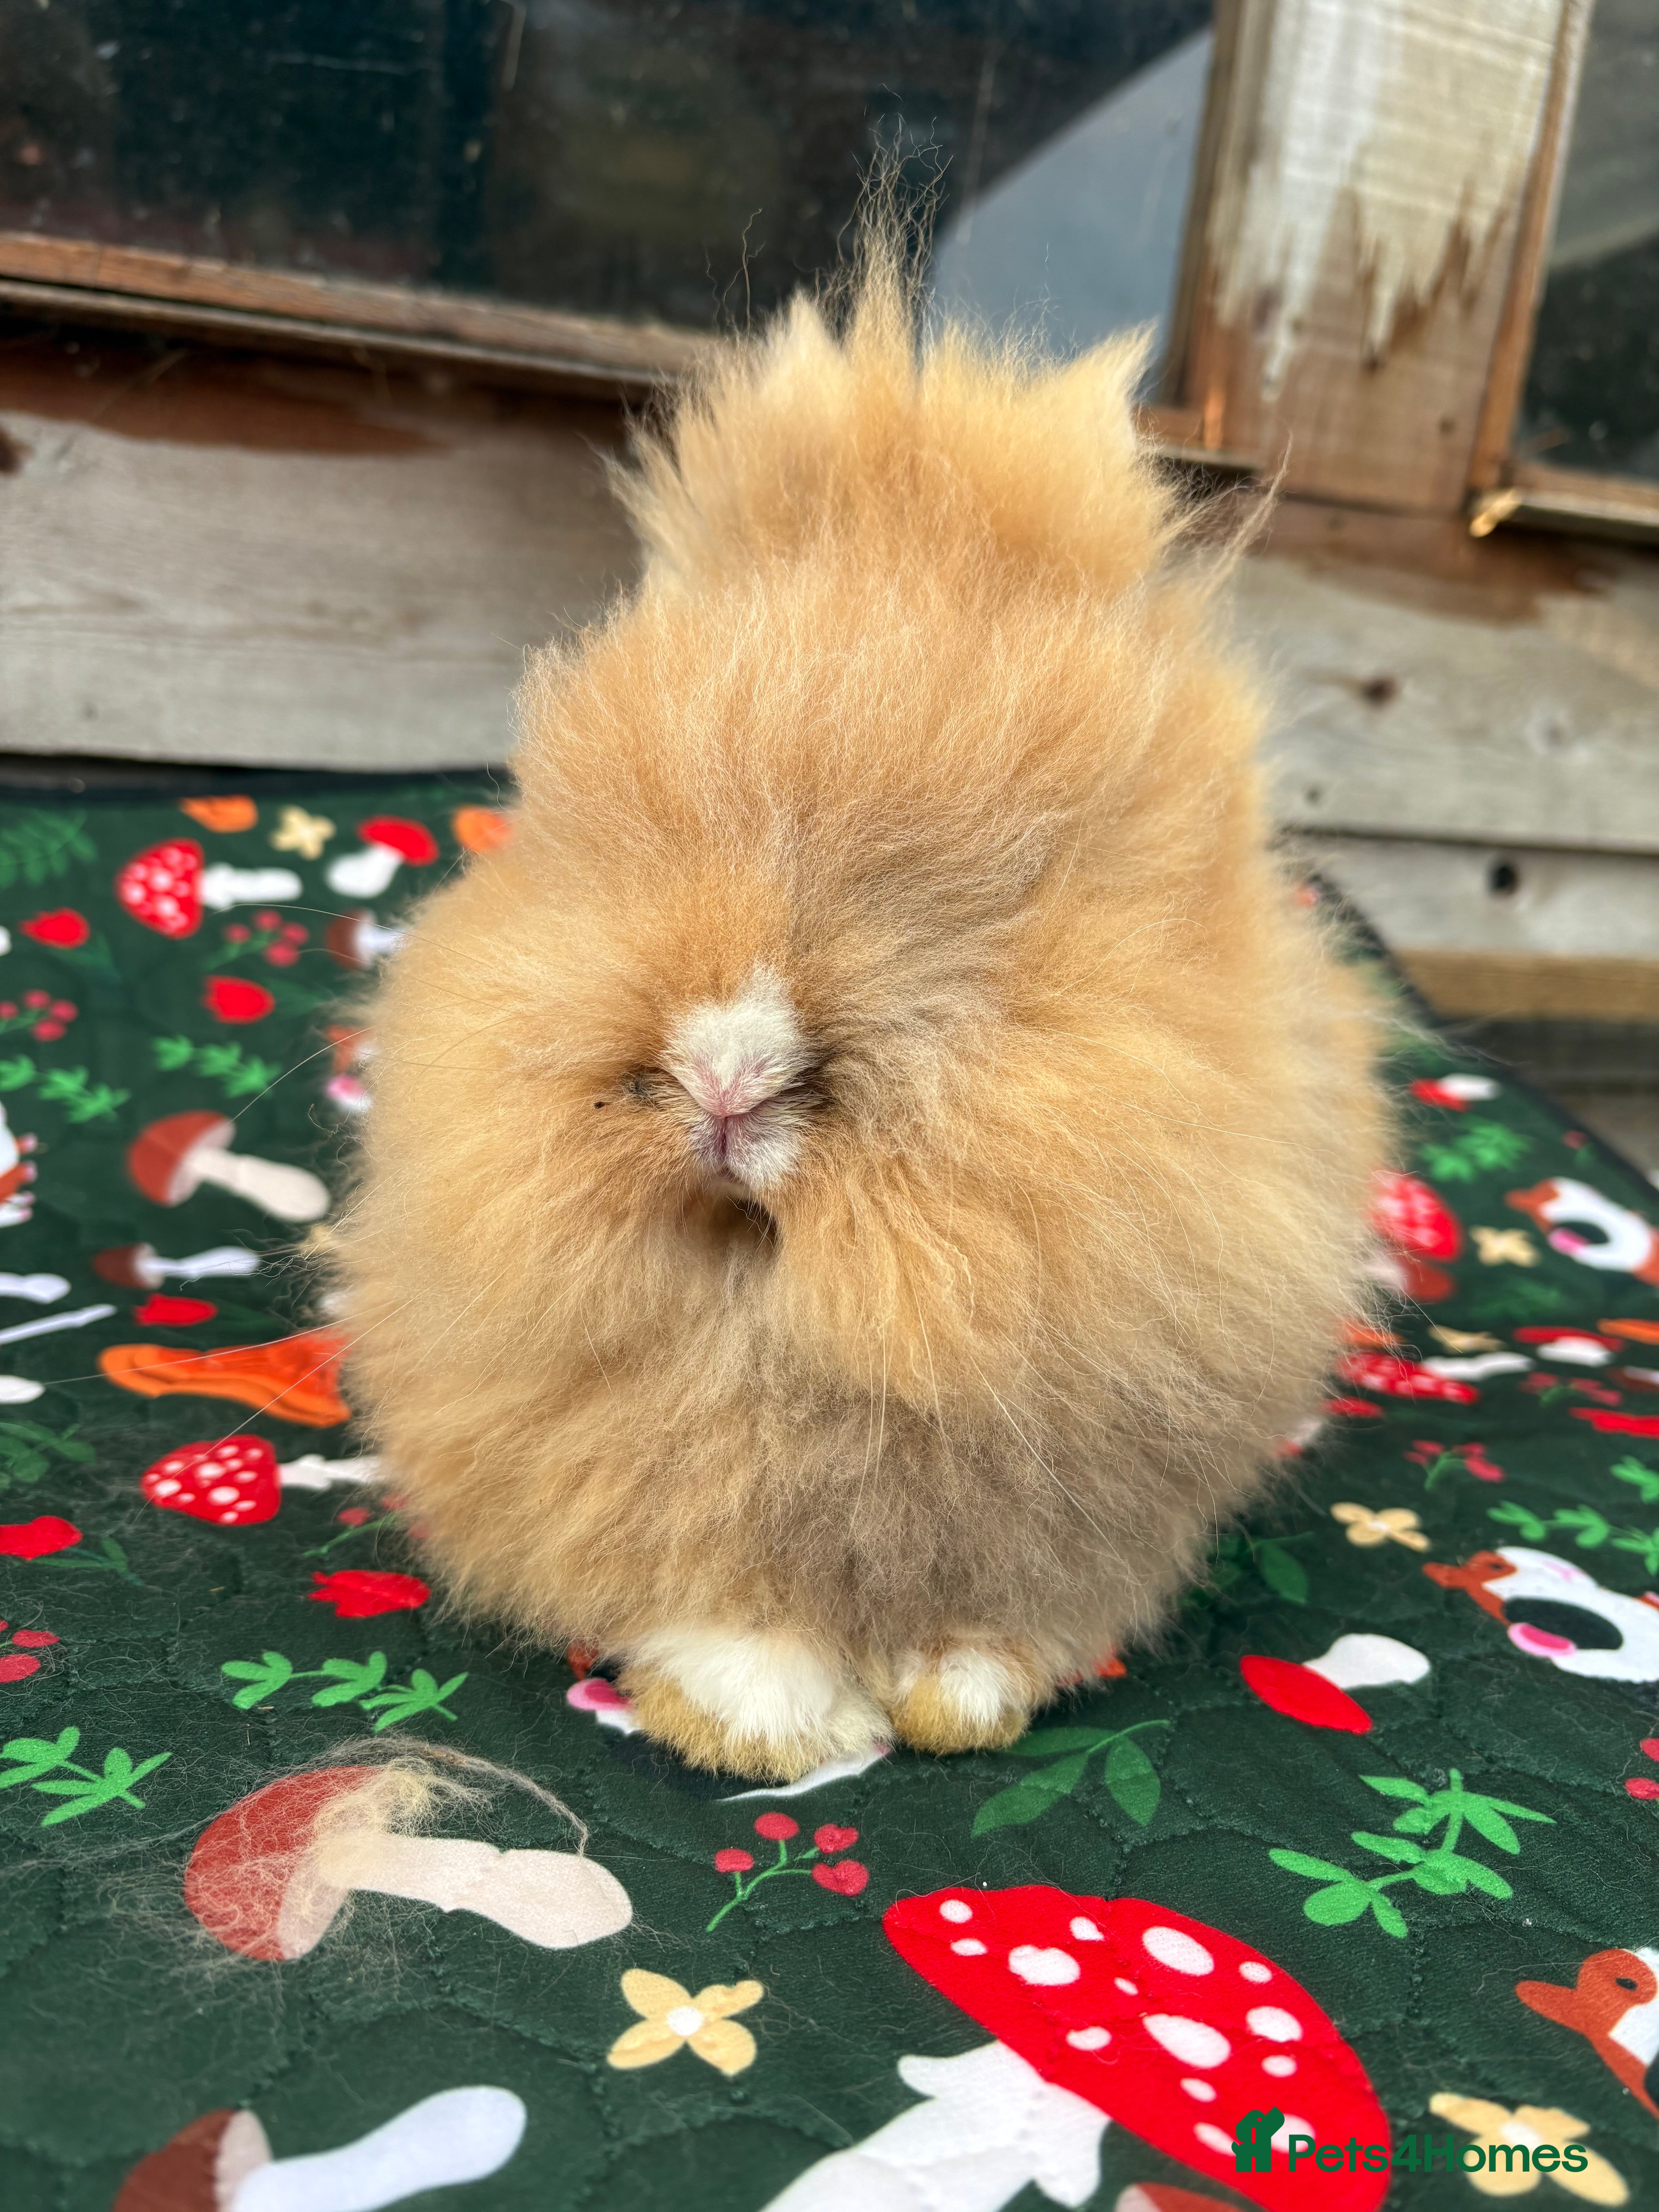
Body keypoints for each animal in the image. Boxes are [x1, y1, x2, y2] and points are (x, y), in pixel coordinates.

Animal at [334, 235, 1385, 1781]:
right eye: (593, 833)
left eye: (1019, 889)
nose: (726, 1076)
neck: (774, 1288)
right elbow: (732, 1612)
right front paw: (764, 1729)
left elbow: (988, 1618)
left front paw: (961, 1705)